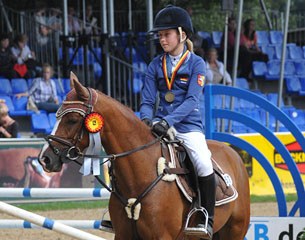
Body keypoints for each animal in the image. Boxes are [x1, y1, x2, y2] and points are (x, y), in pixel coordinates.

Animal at [38, 73, 248, 240]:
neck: (140, 173)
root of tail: (233, 153)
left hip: (234, 230)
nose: (45, 158)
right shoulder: (124, 235)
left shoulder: (162, 237)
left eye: (72, 120)